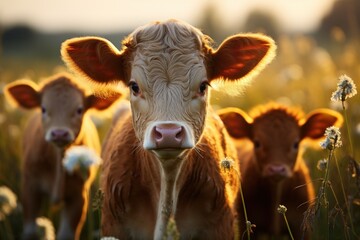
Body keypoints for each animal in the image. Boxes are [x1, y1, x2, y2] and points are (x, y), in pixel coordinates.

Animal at [4, 73, 121, 240]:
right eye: (43, 109)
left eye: (79, 110)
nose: (59, 133)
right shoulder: (30, 187)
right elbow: (29, 230)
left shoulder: (78, 196)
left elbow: (66, 234)